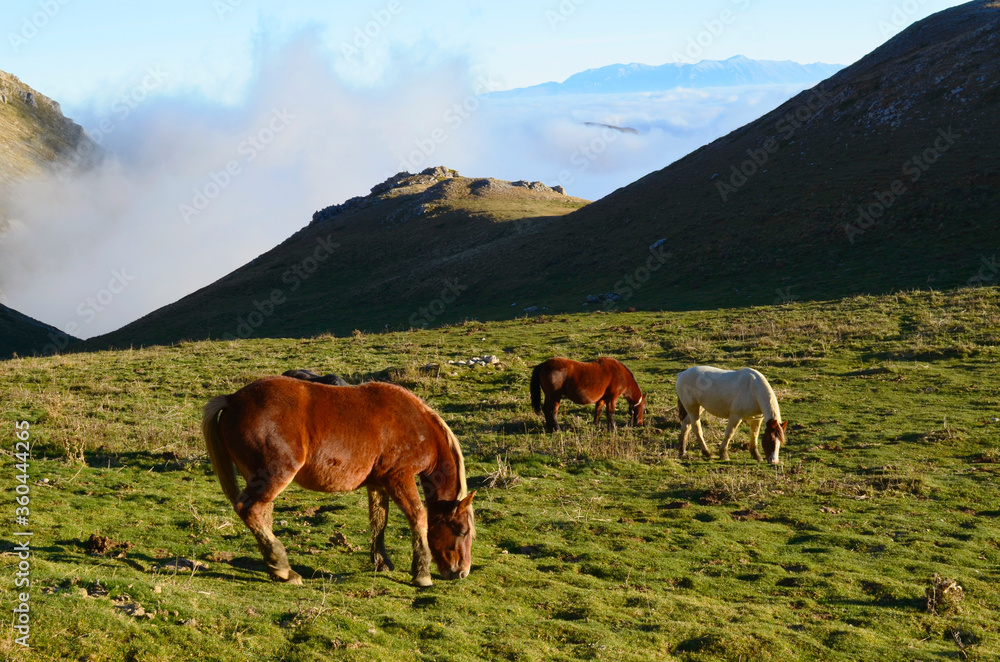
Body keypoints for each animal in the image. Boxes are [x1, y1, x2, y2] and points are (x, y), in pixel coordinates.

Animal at [202, 376, 475, 587]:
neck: (417, 424)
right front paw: (421, 574)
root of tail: (233, 399)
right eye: (462, 531)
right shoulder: (400, 477)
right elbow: (418, 517)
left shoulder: (378, 482)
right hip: (273, 476)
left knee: (262, 516)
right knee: (250, 510)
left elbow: (379, 520)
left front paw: (381, 562)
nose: (462, 572)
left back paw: (276, 568)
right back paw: (283, 568)